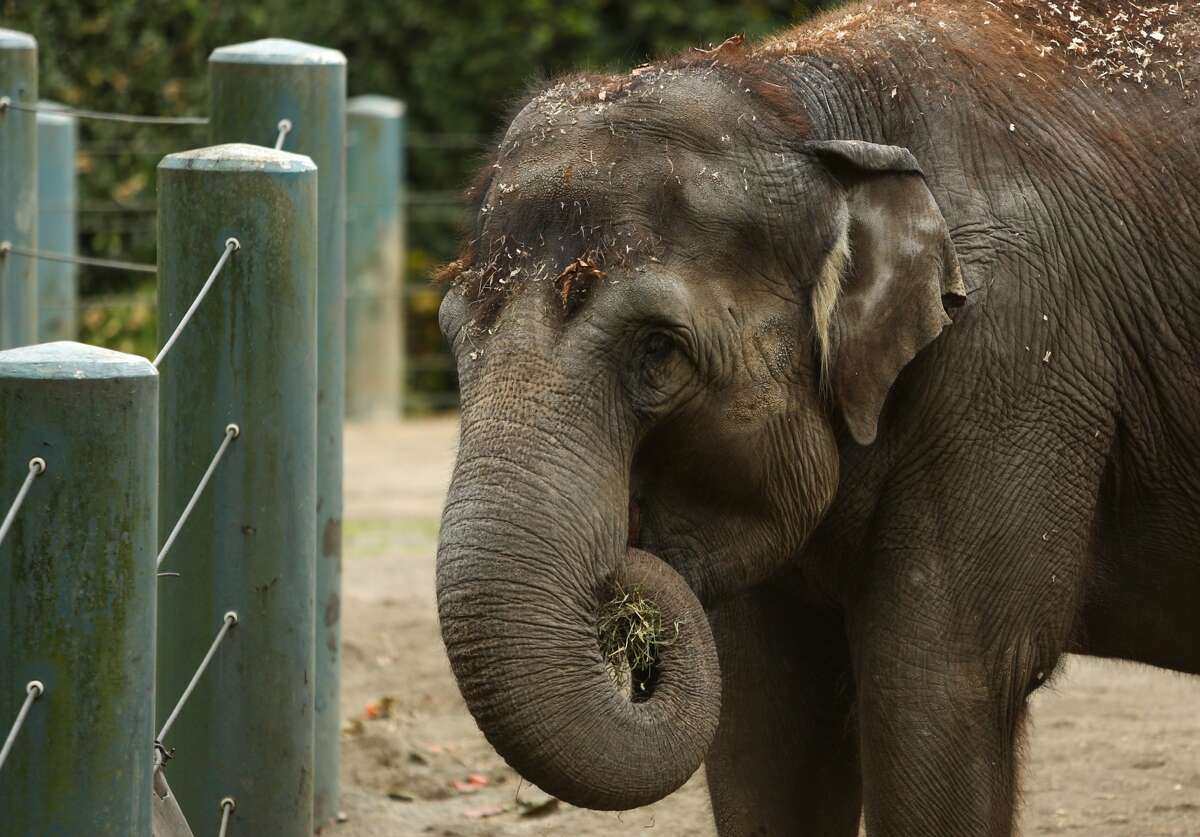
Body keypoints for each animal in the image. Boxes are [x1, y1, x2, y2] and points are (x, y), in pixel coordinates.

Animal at [434, 1, 1200, 834]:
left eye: (660, 348)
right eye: (453, 335)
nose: (623, 561)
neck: (802, 111)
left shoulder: (1021, 357)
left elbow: (944, 682)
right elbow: (765, 715)